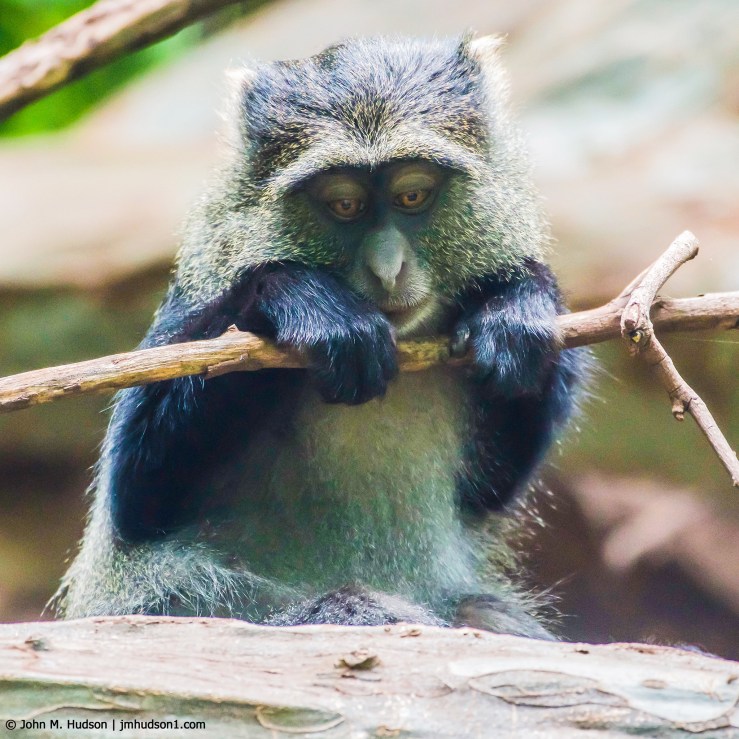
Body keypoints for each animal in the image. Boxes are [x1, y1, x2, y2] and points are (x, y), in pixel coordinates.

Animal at [56, 35, 585, 639]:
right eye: (344, 205)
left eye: (412, 196)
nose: (388, 269)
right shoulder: (201, 285)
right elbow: (138, 498)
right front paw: (304, 301)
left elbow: (491, 489)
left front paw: (518, 303)